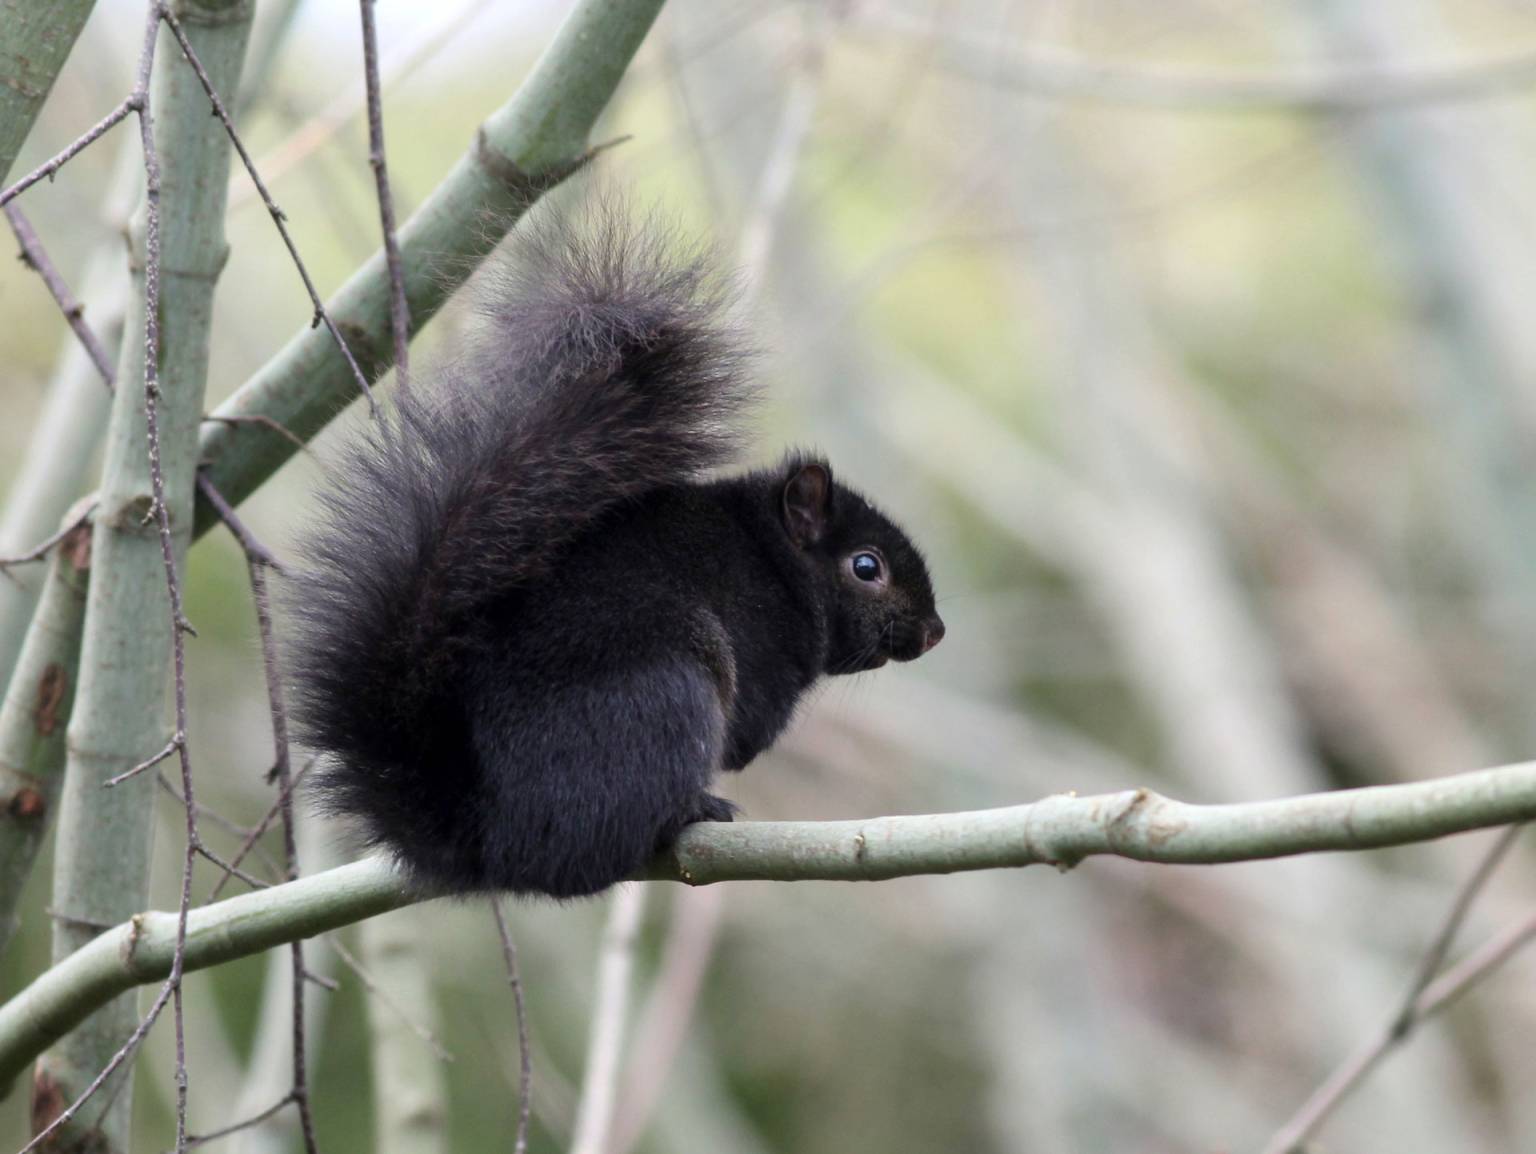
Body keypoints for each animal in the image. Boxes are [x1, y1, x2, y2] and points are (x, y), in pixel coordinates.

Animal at [282, 202, 940, 897]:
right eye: (866, 566)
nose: (935, 631)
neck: (774, 562)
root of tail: (494, 841)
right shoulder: (762, 653)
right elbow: (748, 731)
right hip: (668, 697)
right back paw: (691, 810)